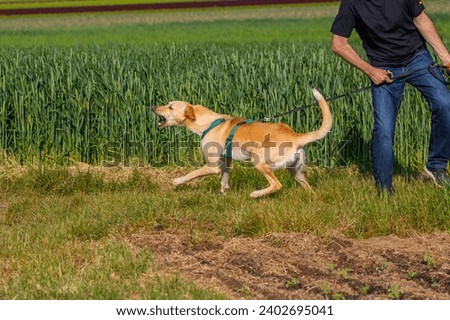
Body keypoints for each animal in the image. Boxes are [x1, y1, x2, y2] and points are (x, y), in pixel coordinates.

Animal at [153, 88, 332, 198]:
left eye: (170, 107)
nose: (153, 107)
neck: (208, 123)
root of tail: (295, 136)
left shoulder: (211, 166)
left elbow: (192, 174)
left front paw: (177, 181)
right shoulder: (226, 159)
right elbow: (224, 178)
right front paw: (224, 193)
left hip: (257, 158)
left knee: (277, 184)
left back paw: (256, 194)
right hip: (296, 172)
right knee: (309, 189)